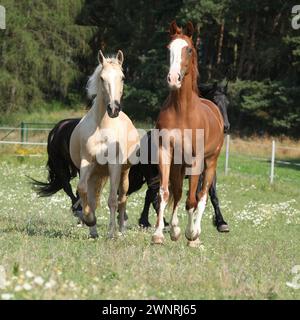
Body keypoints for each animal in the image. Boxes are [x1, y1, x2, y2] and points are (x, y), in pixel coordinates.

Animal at [31, 81, 230, 231]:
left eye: (226, 103)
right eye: (214, 102)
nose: (225, 127)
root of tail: (56, 129)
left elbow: (212, 194)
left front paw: (221, 223)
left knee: (141, 194)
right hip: (66, 169)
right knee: (71, 188)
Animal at [70, 50, 139, 239]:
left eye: (122, 77)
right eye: (102, 78)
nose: (113, 109)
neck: (102, 126)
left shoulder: (114, 165)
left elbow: (113, 200)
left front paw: (111, 233)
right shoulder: (87, 162)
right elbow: (82, 190)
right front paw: (89, 220)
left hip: (124, 173)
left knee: (122, 199)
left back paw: (121, 230)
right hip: (96, 174)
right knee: (93, 198)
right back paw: (93, 231)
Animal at [154, 21, 224, 248]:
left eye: (190, 49)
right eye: (169, 48)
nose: (173, 78)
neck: (182, 112)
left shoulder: (196, 159)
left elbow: (192, 199)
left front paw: (191, 233)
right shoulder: (166, 152)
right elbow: (165, 192)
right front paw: (159, 234)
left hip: (210, 162)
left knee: (201, 196)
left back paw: (195, 235)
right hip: (180, 163)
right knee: (177, 193)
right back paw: (176, 230)